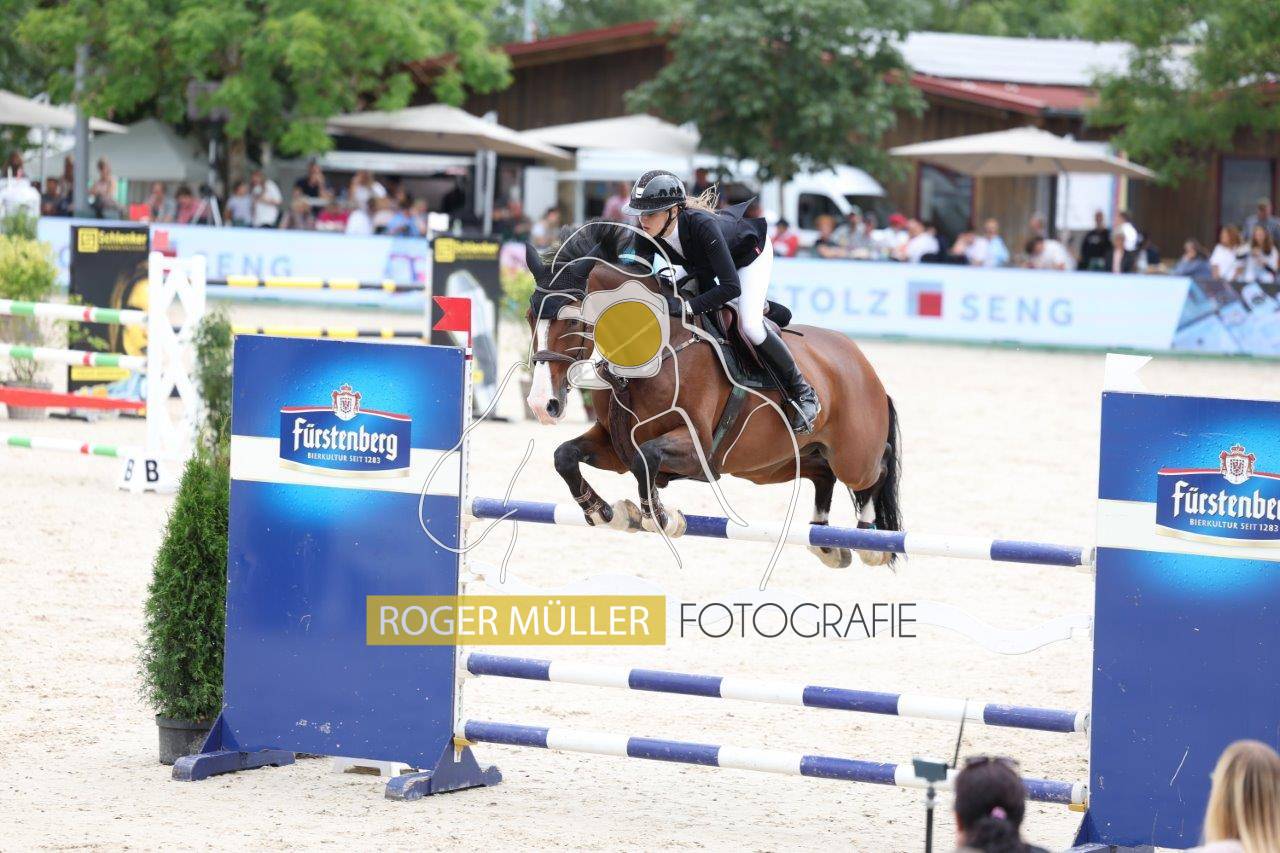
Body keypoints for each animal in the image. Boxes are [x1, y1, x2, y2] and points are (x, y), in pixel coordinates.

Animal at [522, 222, 901, 569]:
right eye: (529, 317)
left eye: (573, 322)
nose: (542, 405)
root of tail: (864, 367)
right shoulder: (616, 445)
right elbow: (565, 456)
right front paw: (602, 511)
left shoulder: (699, 447)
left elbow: (647, 459)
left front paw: (659, 517)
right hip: (770, 465)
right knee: (822, 472)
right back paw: (827, 544)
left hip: (852, 456)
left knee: (878, 463)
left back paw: (870, 542)